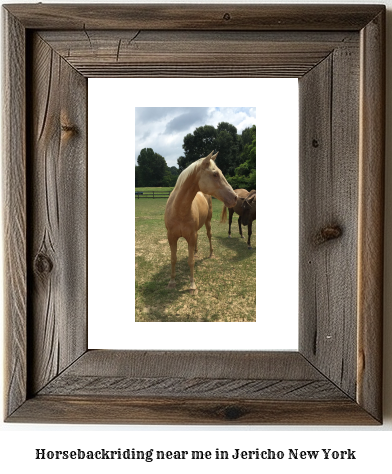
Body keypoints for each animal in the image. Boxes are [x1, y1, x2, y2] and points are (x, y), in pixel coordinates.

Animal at [165, 151, 237, 292]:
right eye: (215, 174)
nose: (235, 197)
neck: (178, 210)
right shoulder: (171, 237)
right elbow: (173, 259)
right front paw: (171, 282)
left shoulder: (191, 236)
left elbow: (191, 261)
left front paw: (192, 286)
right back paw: (196, 251)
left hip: (207, 223)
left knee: (209, 235)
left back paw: (211, 253)